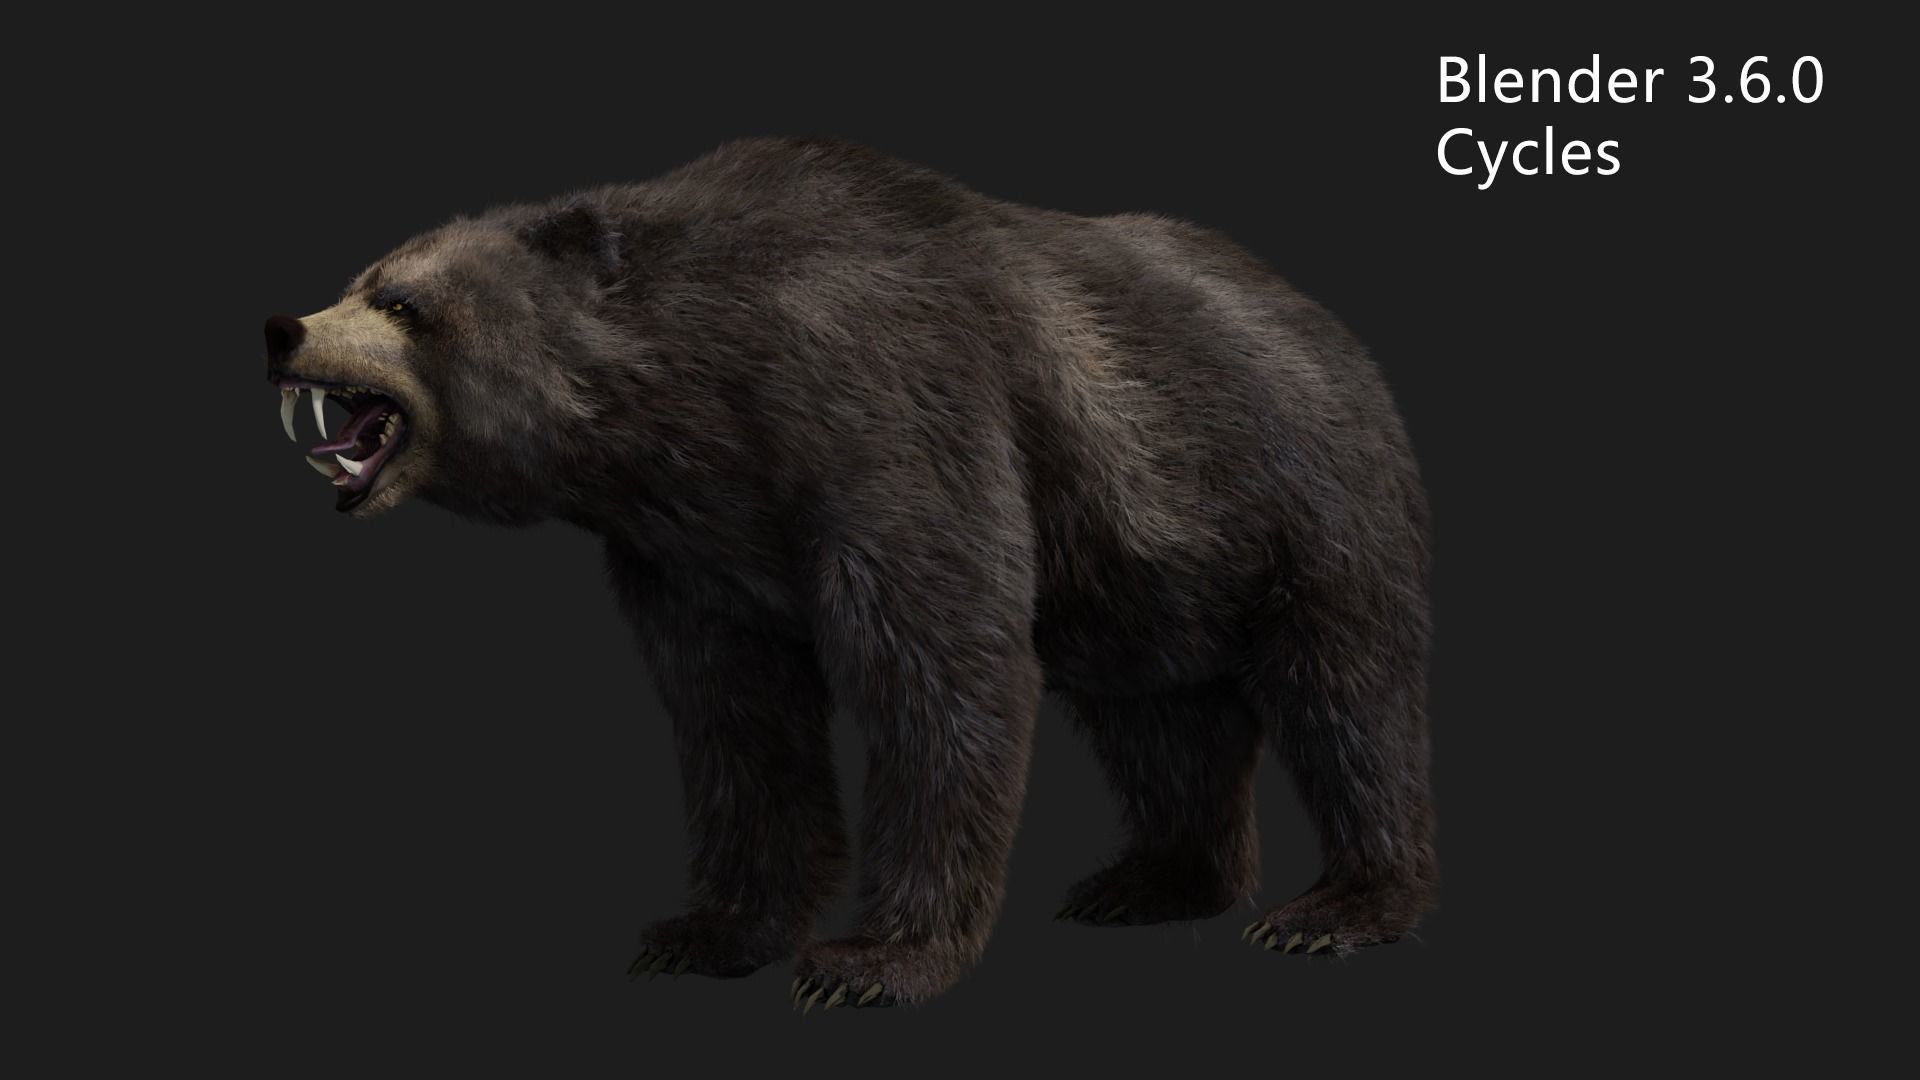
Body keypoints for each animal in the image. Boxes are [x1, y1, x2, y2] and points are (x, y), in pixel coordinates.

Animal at [263, 137, 1437, 1009]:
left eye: (402, 301)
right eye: (359, 276)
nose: (283, 328)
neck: (695, 406)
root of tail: (1329, 323)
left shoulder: (891, 412)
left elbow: (939, 672)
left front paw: (869, 961)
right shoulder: (693, 550)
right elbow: (737, 722)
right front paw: (707, 930)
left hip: (1290, 497)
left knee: (1346, 696)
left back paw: (1334, 908)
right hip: (1144, 567)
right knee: (1161, 717)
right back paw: (1151, 879)